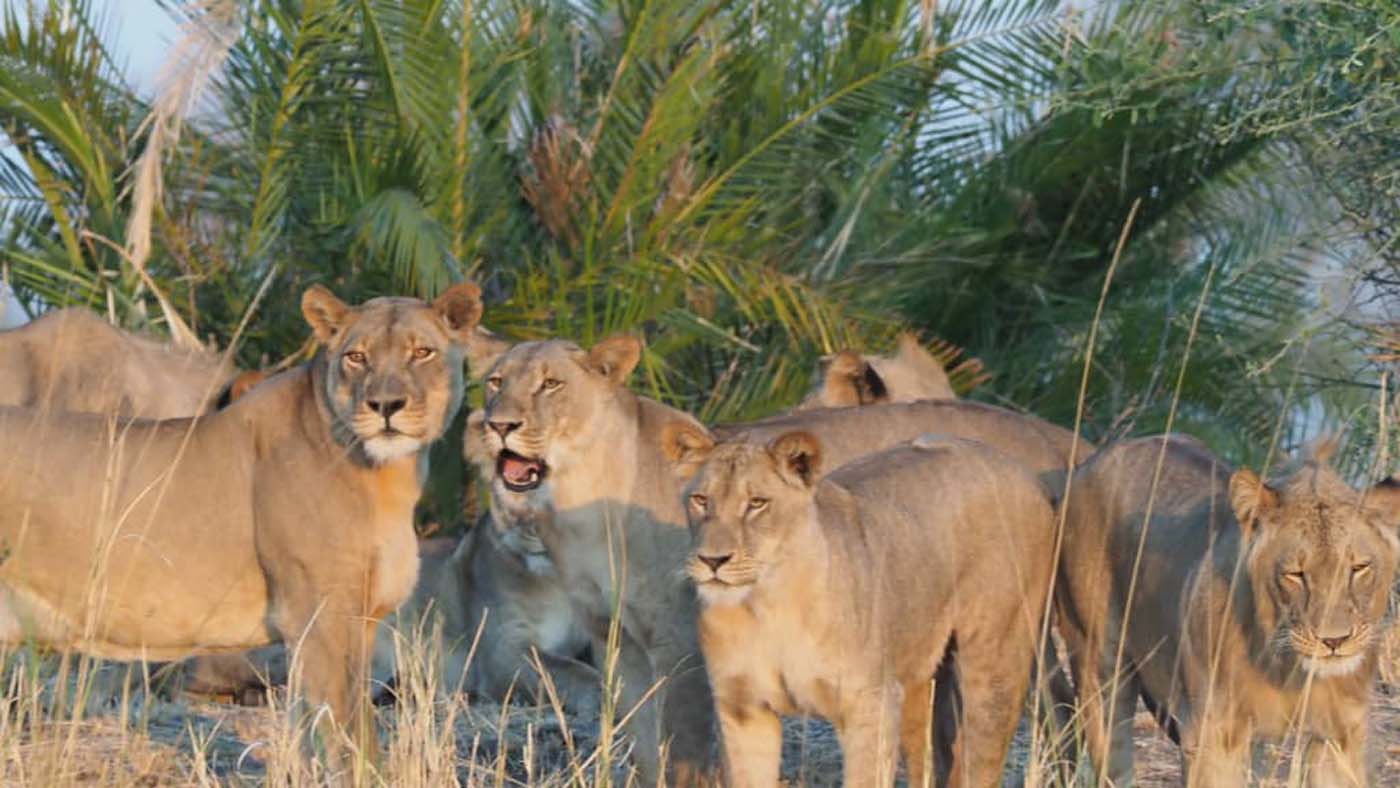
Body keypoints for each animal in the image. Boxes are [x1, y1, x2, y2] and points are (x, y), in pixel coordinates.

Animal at [667, 427, 1056, 788]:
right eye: (700, 500)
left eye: (757, 503)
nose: (712, 560)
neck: (766, 605)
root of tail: (1022, 470)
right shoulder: (743, 710)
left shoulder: (870, 706)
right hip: (915, 678)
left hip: (995, 665)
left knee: (982, 761)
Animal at [1056, 434, 1400, 787]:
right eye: (1295, 574)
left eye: (1358, 568)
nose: (1334, 641)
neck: (1288, 669)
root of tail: (1097, 456)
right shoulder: (1214, 736)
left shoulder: (1339, 737)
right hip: (1099, 666)